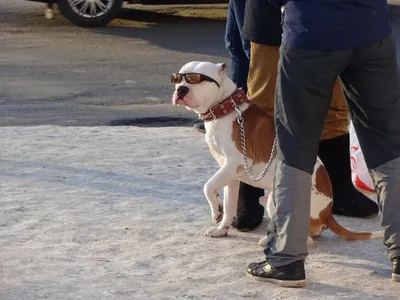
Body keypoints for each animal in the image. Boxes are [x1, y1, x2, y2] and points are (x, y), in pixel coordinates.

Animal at [170, 61, 382, 246]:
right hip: (270, 199)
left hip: (278, 200)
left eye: (196, 79)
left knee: (307, 239)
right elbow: (229, 203)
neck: (225, 108)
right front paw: (221, 228)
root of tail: (327, 214)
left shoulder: (233, 163)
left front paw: (215, 211)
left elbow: (207, 186)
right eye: (178, 79)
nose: (181, 90)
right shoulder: (230, 174)